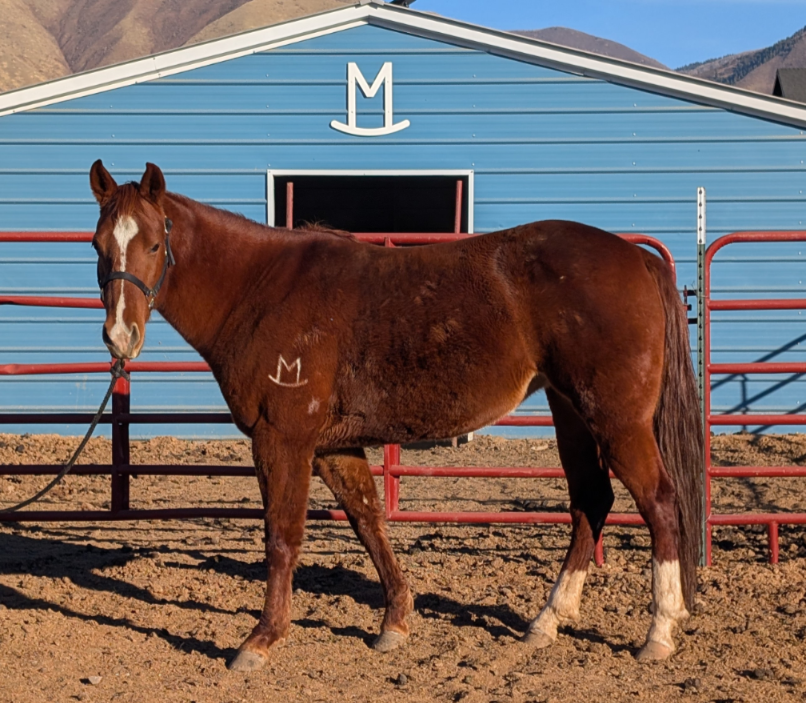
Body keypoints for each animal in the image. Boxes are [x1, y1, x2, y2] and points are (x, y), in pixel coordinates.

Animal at [89, 160, 702, 671]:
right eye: (98, 245)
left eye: (152, 243)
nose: (120, 336)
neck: (261, 289)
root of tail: (636, 257)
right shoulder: (331, 445)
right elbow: (368, 521)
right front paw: (395, 623)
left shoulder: (282, 440)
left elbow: (282, 537)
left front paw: (260, 640)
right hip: (571, 411)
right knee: (590, 501)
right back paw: (546, 622)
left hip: (618, 421)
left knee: (659, 502)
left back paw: (659, 631)